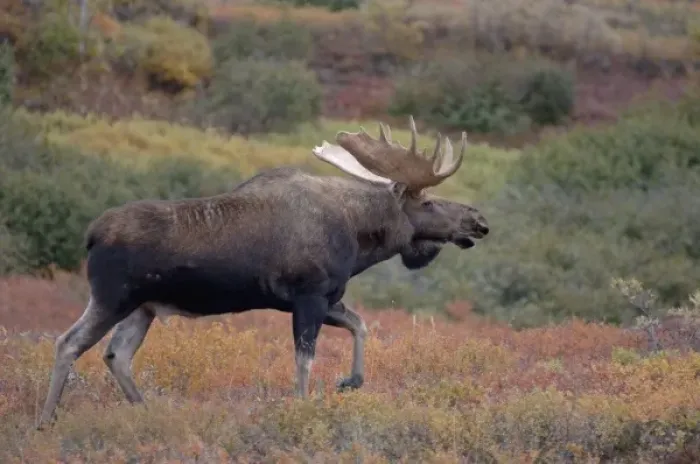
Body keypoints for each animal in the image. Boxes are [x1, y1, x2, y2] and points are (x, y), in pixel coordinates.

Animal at [36, 116, 489, 429]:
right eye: (427, 203)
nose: (479, 221)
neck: (360, 239)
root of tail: (91, 235)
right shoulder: (309, 294)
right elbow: (304, 361)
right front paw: (304, 409)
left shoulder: (324, 297)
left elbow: (360, 326)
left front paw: (349, 382)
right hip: (113, 296)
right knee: (68, 343)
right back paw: (45, 420)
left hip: (144, 307)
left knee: (117, 355)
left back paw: (148, 411)